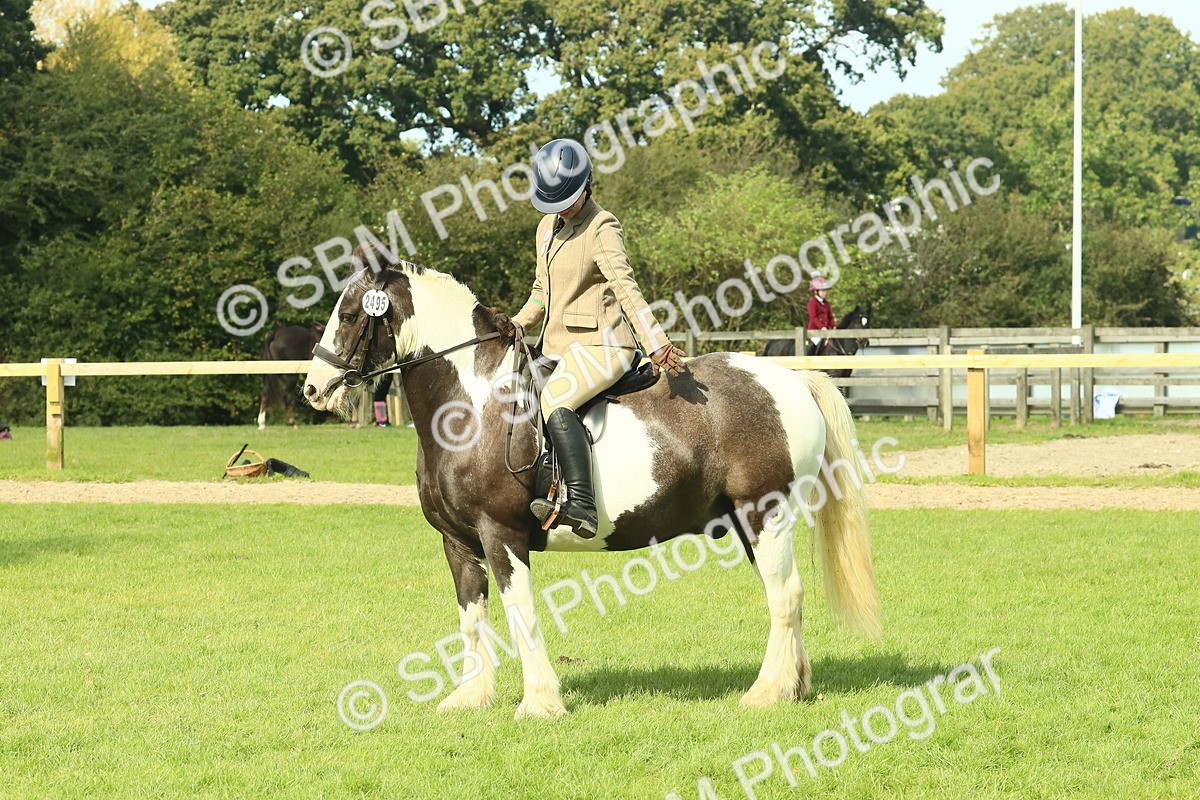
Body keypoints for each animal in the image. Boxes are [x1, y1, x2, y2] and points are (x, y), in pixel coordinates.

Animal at [302, 262, 881, 718]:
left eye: (350, 315)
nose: (312, 388)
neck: (471, 404)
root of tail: (791, 379)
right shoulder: (458, 541)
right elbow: (472, 618)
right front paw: (471, 697)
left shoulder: (501, 535)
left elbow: (521, 614)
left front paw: (539, 703)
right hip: (748, 523)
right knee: (784, 592)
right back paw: (794, 687)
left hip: (766, 514)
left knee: (785, 595)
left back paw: (766, 692)